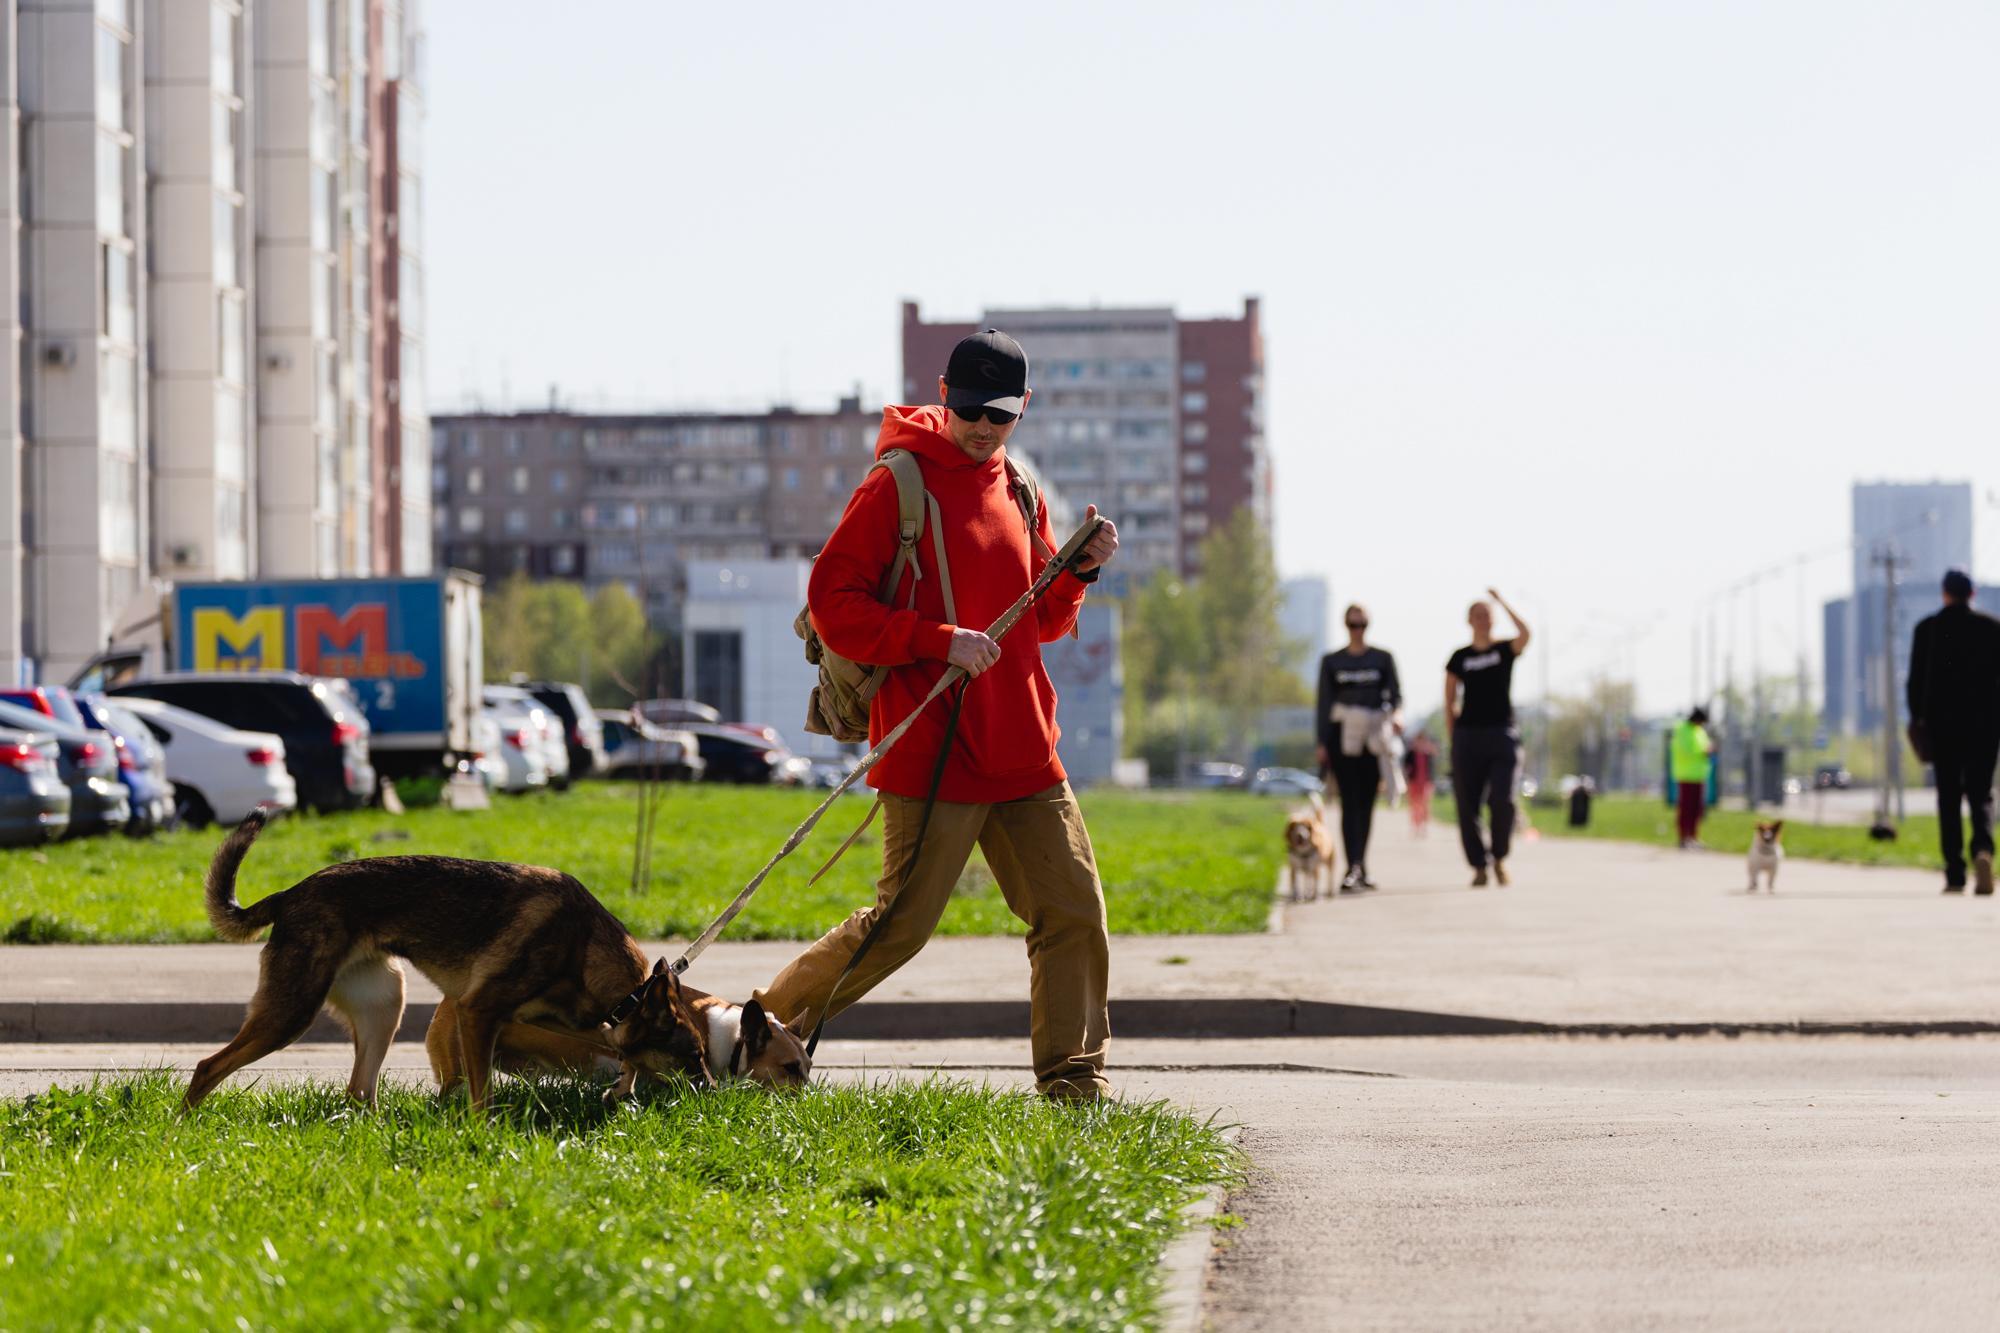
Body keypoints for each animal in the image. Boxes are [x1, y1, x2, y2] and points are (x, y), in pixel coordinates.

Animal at [186, 804, 780, 1104]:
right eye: (691, 1057)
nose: (714, 1095)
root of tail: (289, 895)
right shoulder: (477, 1015)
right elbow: (480, 1096)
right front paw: (481, 1135)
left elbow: (615, 1056)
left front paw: (621, 1094)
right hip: (290, 1013)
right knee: (207, 1067)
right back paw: (185, 1126)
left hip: (385, 1007)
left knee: (359, 1089)